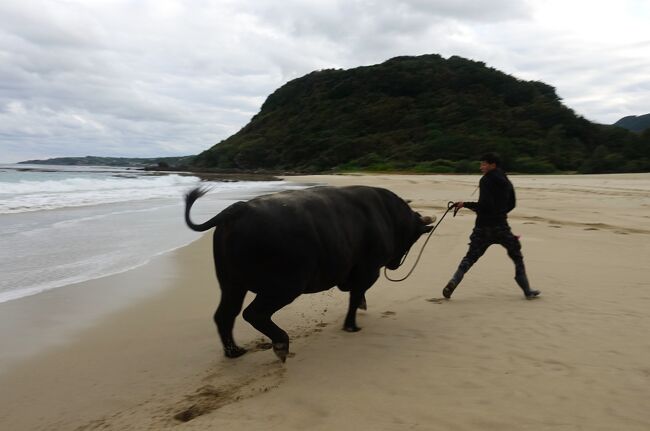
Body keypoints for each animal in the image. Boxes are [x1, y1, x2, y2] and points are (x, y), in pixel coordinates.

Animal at [185, 185, 432, 362]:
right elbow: (354, 298)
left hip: (232, 285)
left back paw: (234, 351)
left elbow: (356, 295)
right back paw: (281, 344)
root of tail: (238, 209)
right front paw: (351, 325)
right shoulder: (368, 272)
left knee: (225, 314)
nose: (396, 265)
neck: (388, 215)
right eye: (413, 239)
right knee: (254, 314)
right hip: (285, 287)